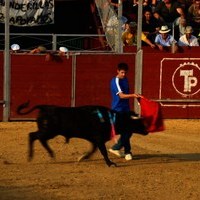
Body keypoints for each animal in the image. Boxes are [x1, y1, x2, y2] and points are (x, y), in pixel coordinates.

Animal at [17, 102, 148, 166]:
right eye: (137, 123)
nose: (147, 131)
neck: (111, 118)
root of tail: (44, 107)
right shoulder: (99, 139)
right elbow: (103, 152)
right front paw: (110, 163)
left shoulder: (94, 140)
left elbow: (93, 150)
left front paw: (82, 157)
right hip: (48, 131)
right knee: (33, 136)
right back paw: (30, 156)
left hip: (49, 132)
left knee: (40, 139)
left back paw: (51, 154)